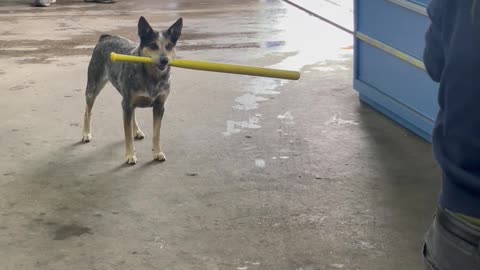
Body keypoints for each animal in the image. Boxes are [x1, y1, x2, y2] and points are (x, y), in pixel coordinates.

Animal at [82, 16, 182, 166]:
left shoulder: (159, 106)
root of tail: (105, 37)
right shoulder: (127, 104)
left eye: (169, 46)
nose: (164, 60)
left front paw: (157, 152)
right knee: (87, 111)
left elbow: (156, 134)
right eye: (153, 45)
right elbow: (127, 134)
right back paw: (86, 133)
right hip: (93, 87)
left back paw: (137, 130)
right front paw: (130, 155)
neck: (152, 76)